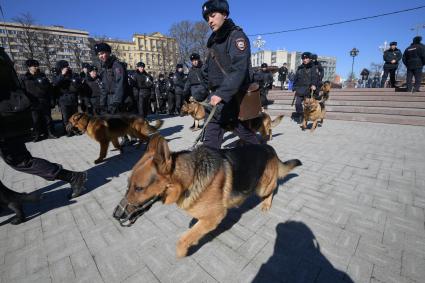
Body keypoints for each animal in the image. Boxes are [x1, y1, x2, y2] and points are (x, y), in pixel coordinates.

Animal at [111, 134, 300, 258]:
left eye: (139, 188)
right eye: (128, 185)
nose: (116, 215)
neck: (190, 178)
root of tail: (268, 147)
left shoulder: (214, 216)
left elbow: (183, 239)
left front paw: (182, 252)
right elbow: (193, 231)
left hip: (262, 187)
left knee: (274, 187)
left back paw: (266, 204)